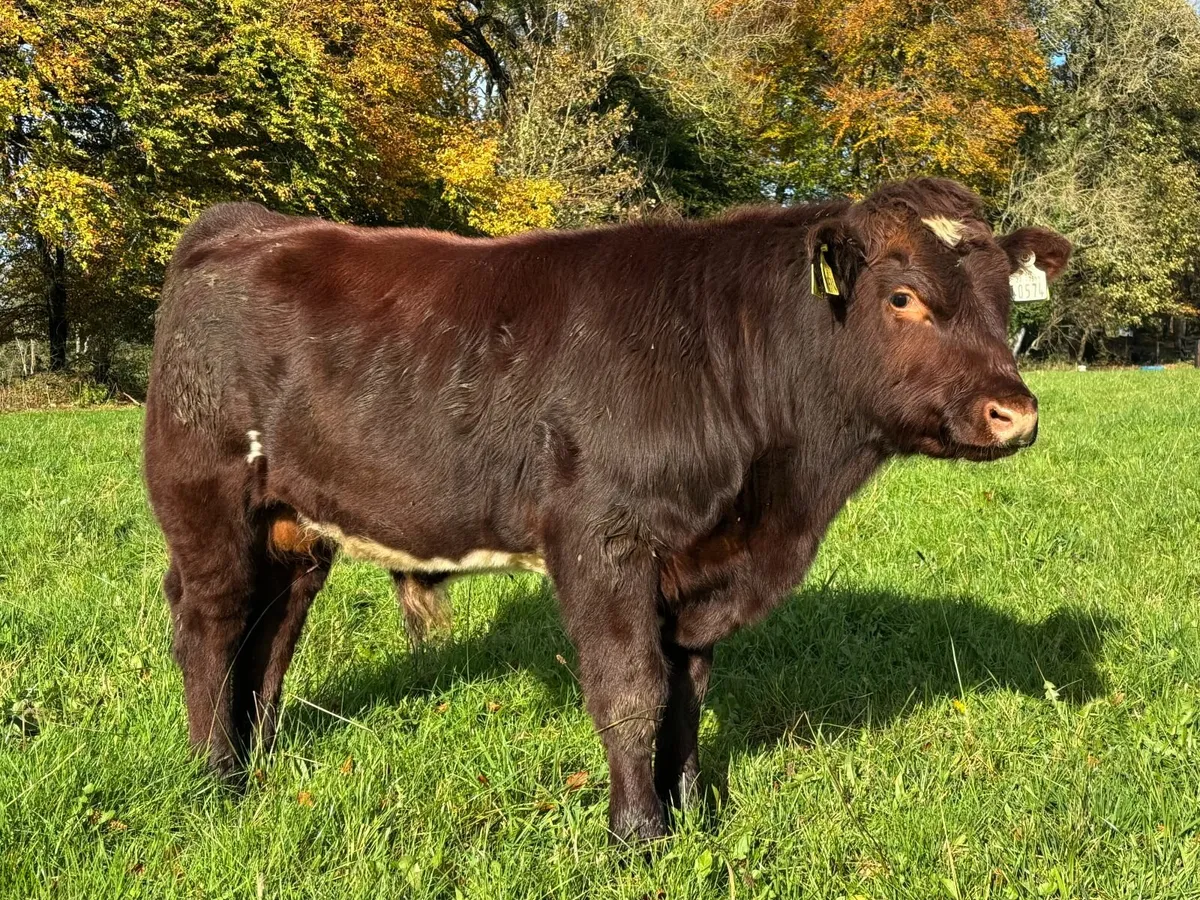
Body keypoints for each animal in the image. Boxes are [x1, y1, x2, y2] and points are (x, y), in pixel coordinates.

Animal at [143, 177, 1070, 843]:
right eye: (903, 296)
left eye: (1005, 298)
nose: (1015, 412)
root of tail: (241, 224)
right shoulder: (602, 540)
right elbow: (632, 690)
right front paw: (638, 836)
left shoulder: (698, 572)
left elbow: (687, 692)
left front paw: (692, 812)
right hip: (206, 496)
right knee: (211, 623)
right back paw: (216, 776)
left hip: (296, 524)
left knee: (274, 628)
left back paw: (261, 756)